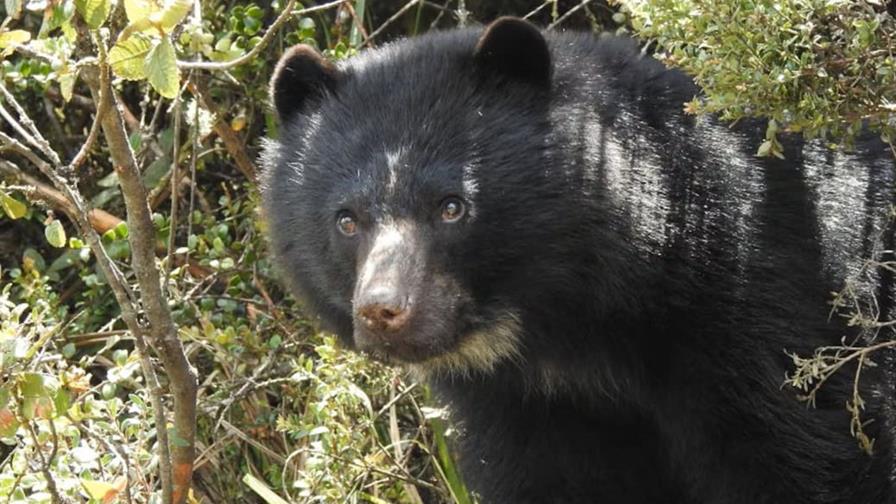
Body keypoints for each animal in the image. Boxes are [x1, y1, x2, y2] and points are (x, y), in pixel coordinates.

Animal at [260, 17, 896, 503]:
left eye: (452, 206)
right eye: (347, 219)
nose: (383, 312)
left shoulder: (770, 318)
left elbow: (800, 460)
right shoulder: (527, 409)